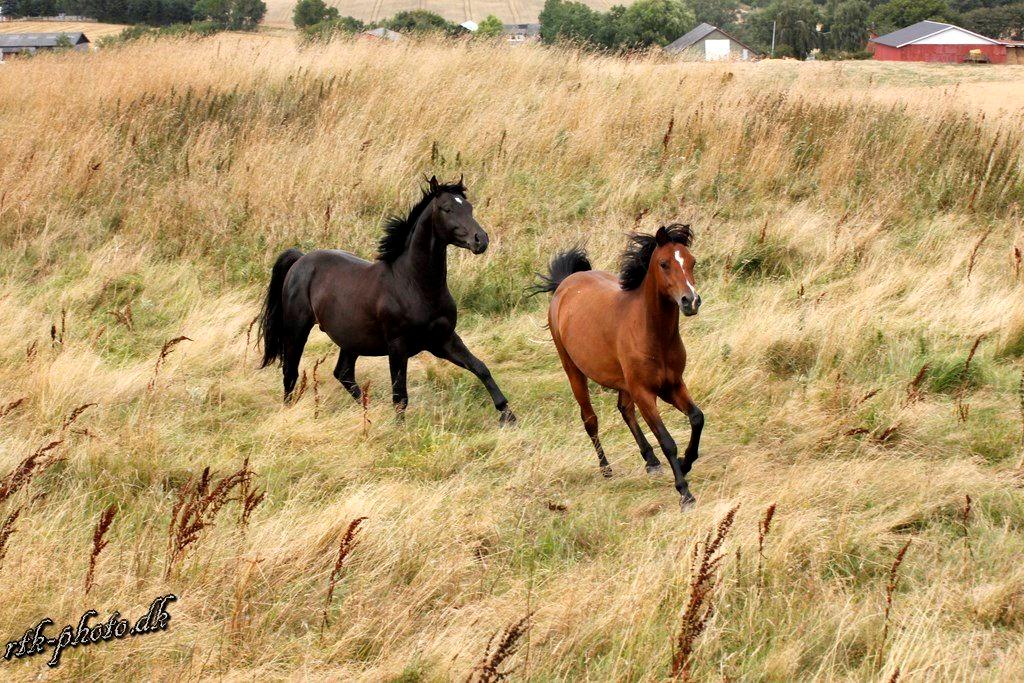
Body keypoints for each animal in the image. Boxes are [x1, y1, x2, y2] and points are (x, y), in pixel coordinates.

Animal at [257, 176, 516, 424]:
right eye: (447, 208)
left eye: (469, 208)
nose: (481, 240)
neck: (415, 284)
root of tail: (301, 259)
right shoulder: (398, 346)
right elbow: (400, 395)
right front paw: (400, 429)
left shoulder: (443, 340)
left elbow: (480, 367)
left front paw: (507, 415)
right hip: (297, 329)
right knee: (290, 372)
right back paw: (289, 413)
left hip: (351, 338)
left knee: (343, 373)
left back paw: (368, 411)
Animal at [532, 224, 704, 510]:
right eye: (664, 263)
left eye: (692, 261)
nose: (690, 301)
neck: (652, 333)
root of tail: (566, 283)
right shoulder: (645, 392)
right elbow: (667, 441)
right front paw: (685, 493)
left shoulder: (672, 385)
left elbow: (697, 418)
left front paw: (686, 462)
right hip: (573, 371)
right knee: (590, 420)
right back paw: (606, 468)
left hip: (624, 381)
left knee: (625, 409)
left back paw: (651, 461)